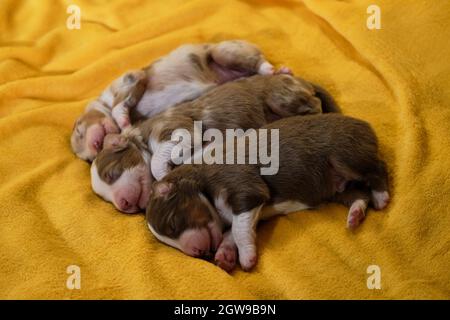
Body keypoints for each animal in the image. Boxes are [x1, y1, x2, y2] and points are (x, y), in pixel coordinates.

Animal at [71, 40, 284, 161]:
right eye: (87, 160)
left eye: (79, 130)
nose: (94, 151)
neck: (104, 101)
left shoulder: (133, 78)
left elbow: (120, 105)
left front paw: (123, 122)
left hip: (224, 52)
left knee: (257, 61)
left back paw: (274, 69)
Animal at [89, 73, 340, 212]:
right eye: (106, 200)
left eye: (112, 173)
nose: (123, 205)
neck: (141, 134)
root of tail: (302, 80)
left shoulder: (176, 127)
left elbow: (159, 158)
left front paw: (162, 170)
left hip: (281, 97)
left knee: (315, 104)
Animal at [145, 114, 390, 272]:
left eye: (173, 224)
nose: (196, 252)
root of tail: (366, 124)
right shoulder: (249, 211)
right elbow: (231, 233)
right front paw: (225, 255)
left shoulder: (244, 188)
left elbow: (238, 230)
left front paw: (246, 257)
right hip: (335, 188)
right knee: (359, 195)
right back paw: (355, 215)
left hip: (345, 154)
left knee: (377, 168)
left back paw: (381, 196)